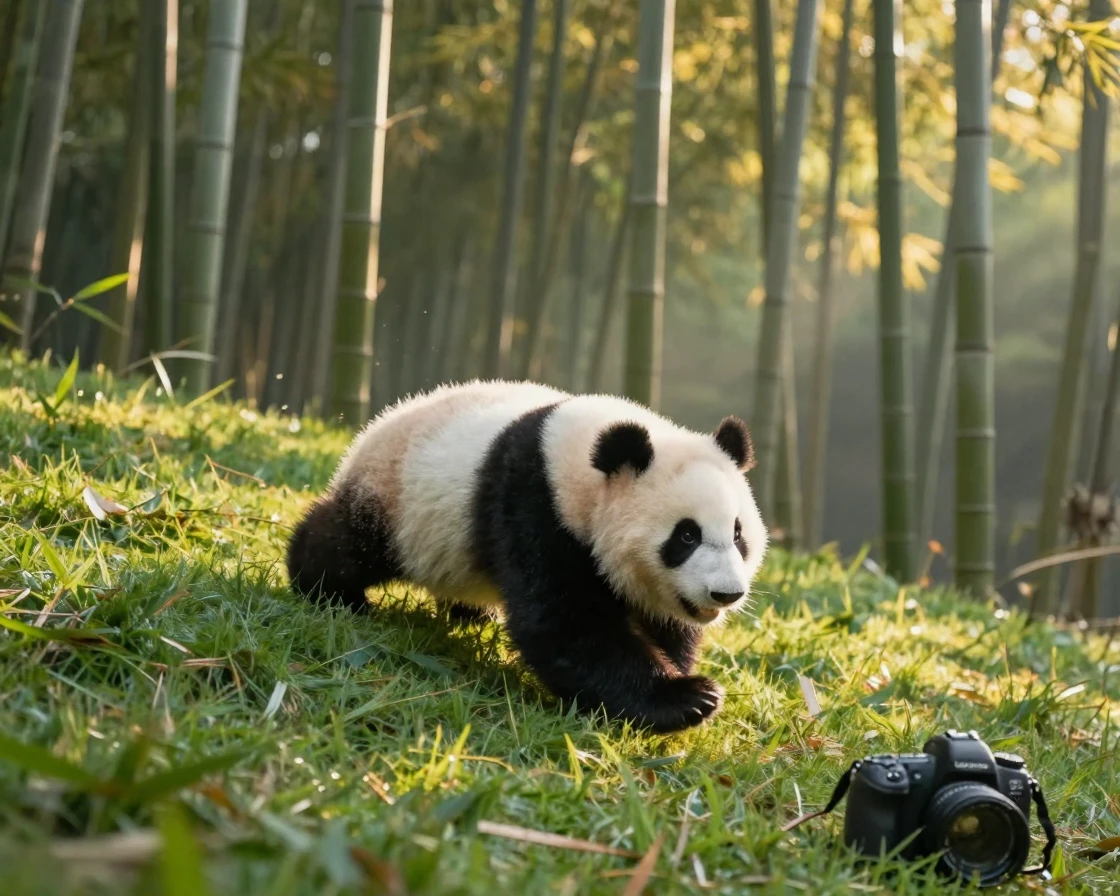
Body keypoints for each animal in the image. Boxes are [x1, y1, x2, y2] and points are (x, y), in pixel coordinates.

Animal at [286, 381, 768, 733]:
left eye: (738, 534)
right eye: (685, 535)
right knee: (350, 543)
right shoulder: (533, 505)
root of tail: (374, 427)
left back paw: (470, 614)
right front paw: (689, 697)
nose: (726, 593)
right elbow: (564, 625)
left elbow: (660, 621)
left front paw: (679, 669)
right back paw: (325, 588)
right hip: (397, 499)